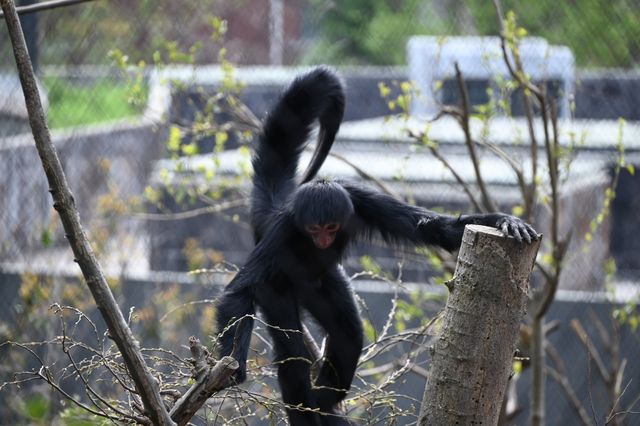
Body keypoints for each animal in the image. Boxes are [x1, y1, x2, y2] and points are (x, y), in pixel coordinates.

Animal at [216, 66, 540, 426]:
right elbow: (237, 292)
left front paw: (503, 221)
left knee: (347, 332)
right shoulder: (283, 233)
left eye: (331, 228)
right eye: (314, 229)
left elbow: (434, 229)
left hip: (324, 280)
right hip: (278, 284)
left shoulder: (359, 201)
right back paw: (309, 406)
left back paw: (324, 402)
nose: (323, 240)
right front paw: (234, 368)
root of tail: (273, 208)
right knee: (292, 352)